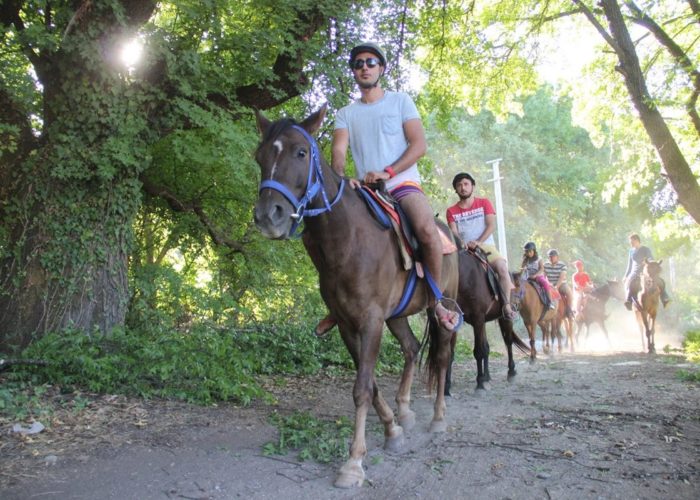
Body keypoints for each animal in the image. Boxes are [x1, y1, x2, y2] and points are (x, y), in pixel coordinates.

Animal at [252, 104, 460, 488]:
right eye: (260, 157)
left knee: (440, 357)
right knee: (411, 348)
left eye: (300, 152)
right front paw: (393, 430)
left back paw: (438, 418)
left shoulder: (371, 320)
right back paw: (405, 409)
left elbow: (362, 388)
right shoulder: (348, 325)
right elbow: (371, 384)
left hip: (442, 309)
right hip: (397, 316)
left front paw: (353, 463)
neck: (347, 239)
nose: (268, 216)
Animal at [448, 250, 532, 390]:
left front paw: (480, 382)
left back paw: (511, 372)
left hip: (504, 318)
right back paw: (487, 377)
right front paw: (446, 387)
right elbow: (450, 352)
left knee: (508, 342)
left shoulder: (478, 318)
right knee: (487, 347)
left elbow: (479, 351)